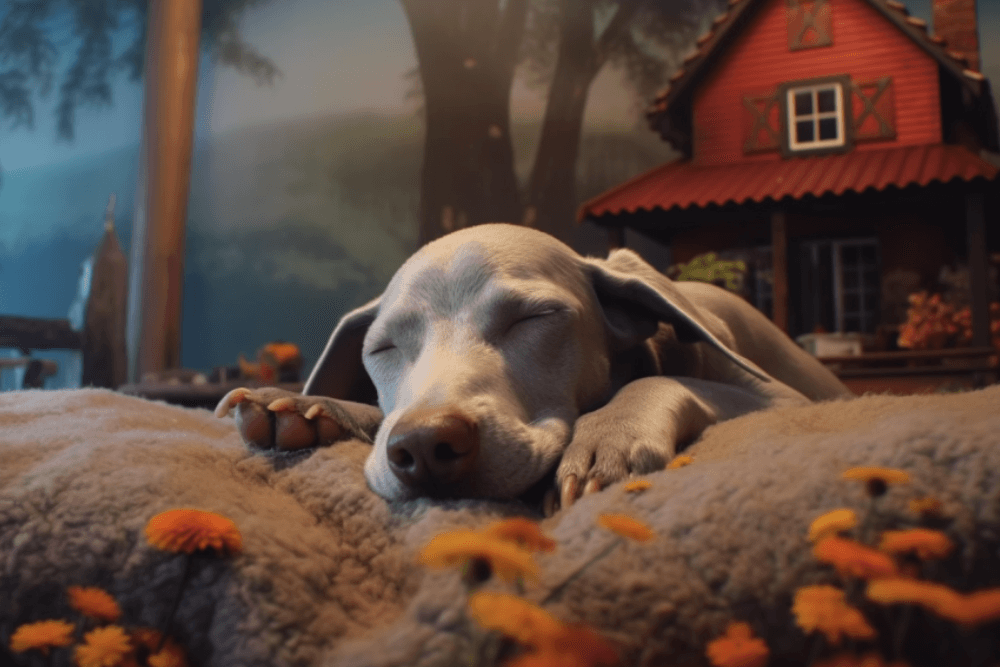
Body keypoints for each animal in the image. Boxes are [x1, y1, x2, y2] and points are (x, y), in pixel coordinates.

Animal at [217, 222, 852, 516]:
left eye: (534, 318)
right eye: (384, 349)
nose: (424, 446)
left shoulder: (778, 400)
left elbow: (660, 380)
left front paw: (606, 440)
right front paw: (307, 407)